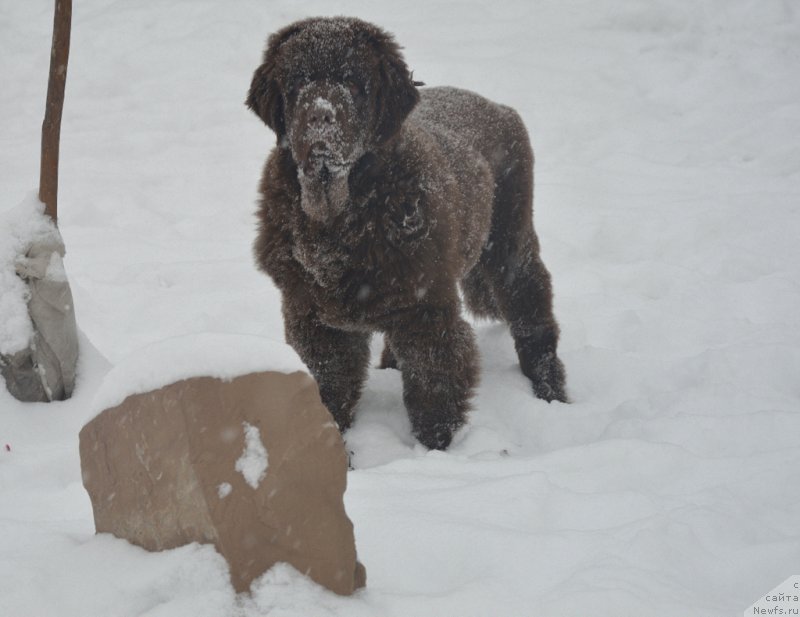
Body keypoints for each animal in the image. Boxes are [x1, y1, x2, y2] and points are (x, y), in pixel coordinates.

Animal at [247, 15, 564, 448]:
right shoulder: (313, 317)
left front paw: (434, 450)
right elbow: (328, 386)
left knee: (533, 311)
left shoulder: (427, 310)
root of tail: (498, 106)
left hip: (510, 243)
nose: (320, 116)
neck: (342, 220)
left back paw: (550, 391)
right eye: (296, 84)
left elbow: (433, 386)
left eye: (353, 83)